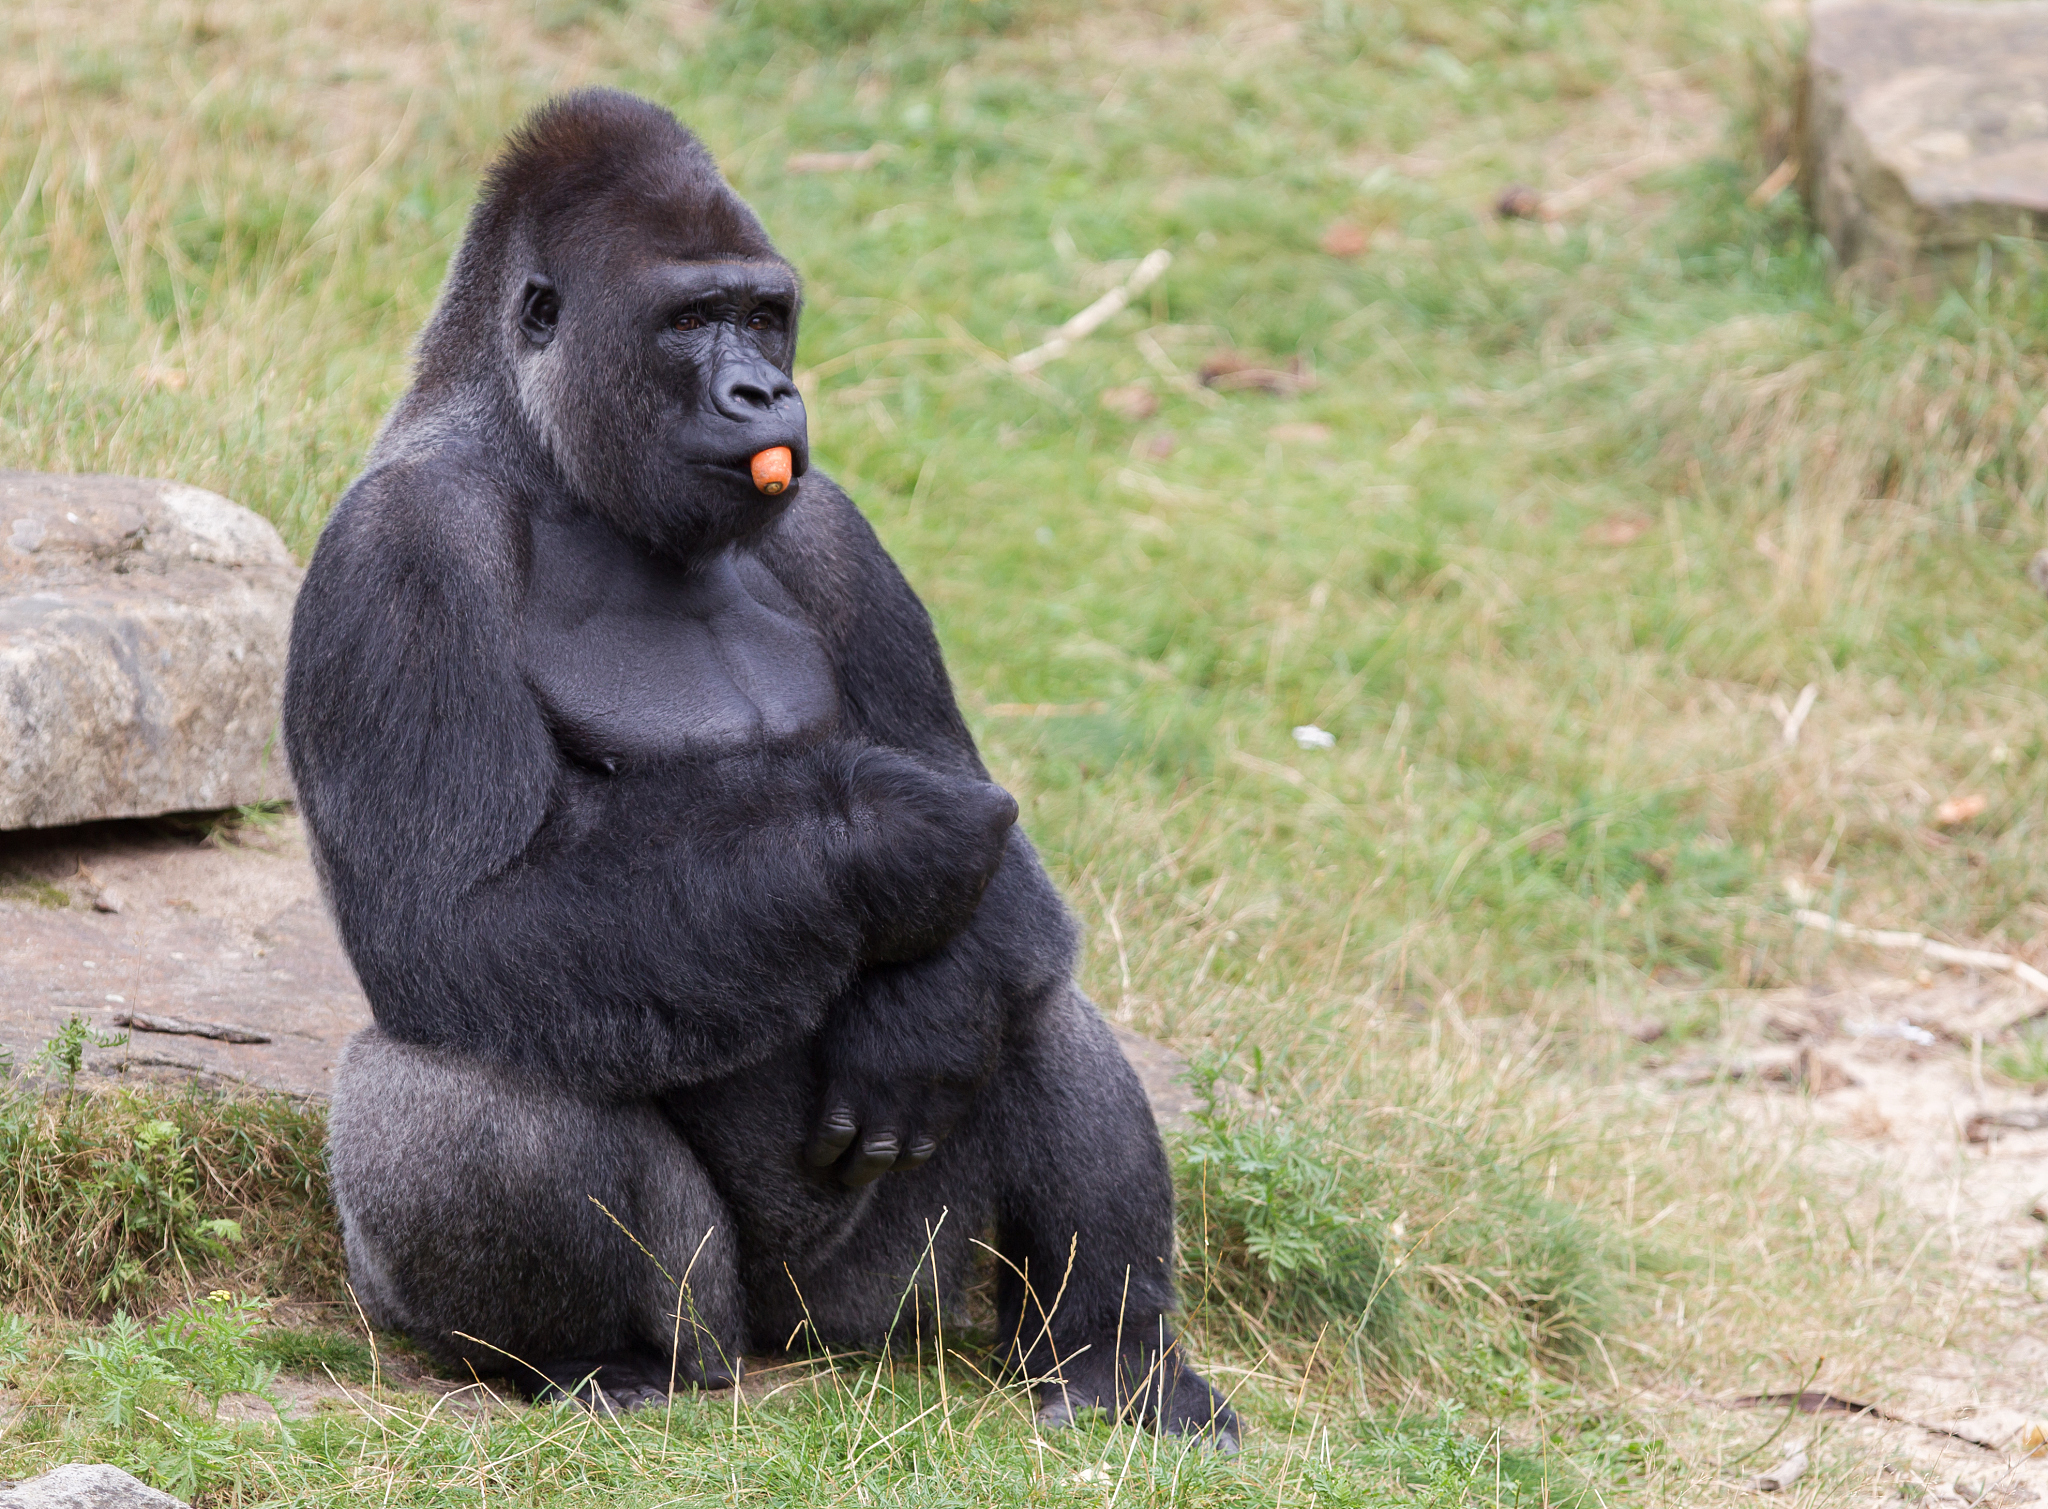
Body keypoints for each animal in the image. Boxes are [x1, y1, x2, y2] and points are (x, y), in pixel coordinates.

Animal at [287, 88, 1236, 1447]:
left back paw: (1113, 1357)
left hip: (883, 1286)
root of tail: (791, 1345)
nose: (760, 390)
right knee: (447, 1084)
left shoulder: (835, 528)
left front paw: (922, 995)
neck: (544, 453)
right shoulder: (401, 553)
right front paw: (883, 829)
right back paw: (596, 1358)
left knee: (1032, 991)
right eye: (690, 320)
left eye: (764, 312)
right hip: (709, 1314)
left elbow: (998, 883)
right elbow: (459, 916)